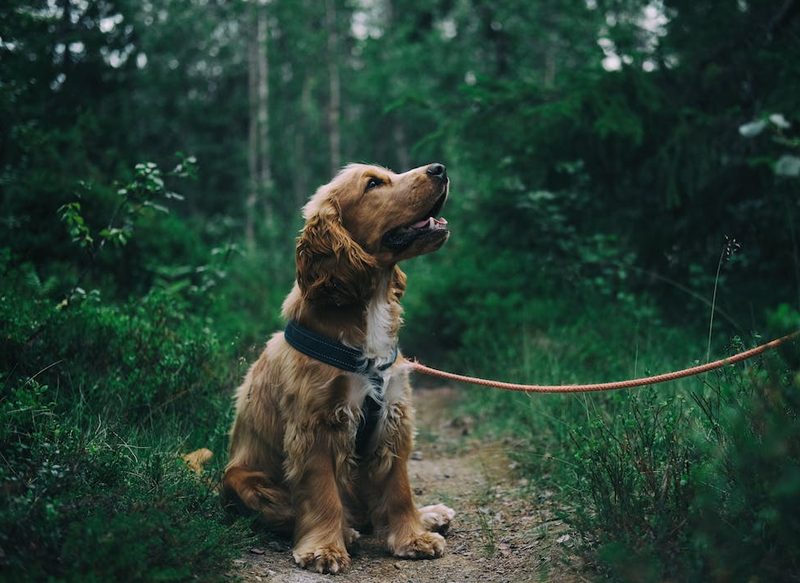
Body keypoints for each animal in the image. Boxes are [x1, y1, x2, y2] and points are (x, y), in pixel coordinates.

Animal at [222, 162, 456, 572]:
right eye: (373, 183)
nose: (440, 168)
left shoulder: (393, 416)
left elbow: (399, 488)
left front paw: (413, 537)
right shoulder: (316, 425)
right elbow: (322, 493)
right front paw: (325, 549)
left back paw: (428, 514)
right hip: (244, 480)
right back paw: (346, 532)